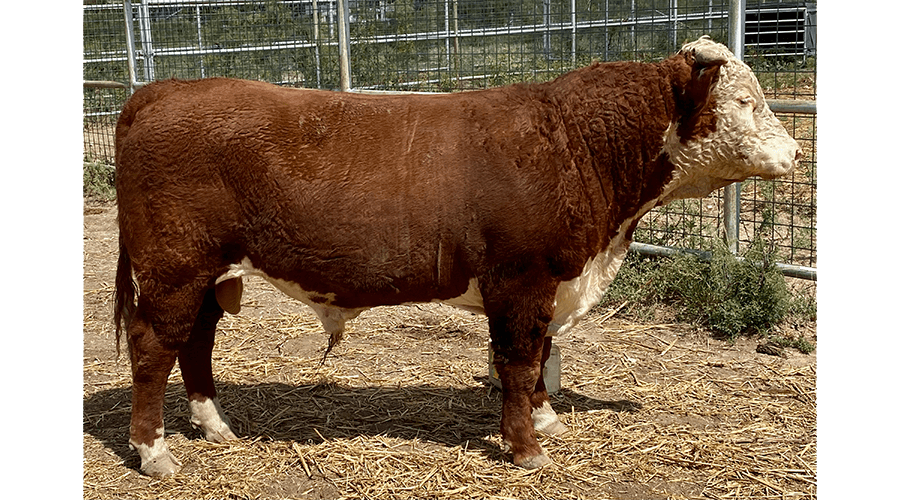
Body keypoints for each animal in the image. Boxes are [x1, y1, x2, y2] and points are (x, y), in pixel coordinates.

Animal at [113, 36, 800, 477]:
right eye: (744, 102)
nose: (795, 152)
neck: (575, 143)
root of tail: (161, 90)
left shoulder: (544, 285)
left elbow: (540, 357)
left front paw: (546, 422)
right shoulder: (521, 280)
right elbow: (519, 363)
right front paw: (525, 448)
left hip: (208, 275)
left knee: (195, 344)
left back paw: (215, 425)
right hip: (174, 269)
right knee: (153, 351)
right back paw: (154, 453)